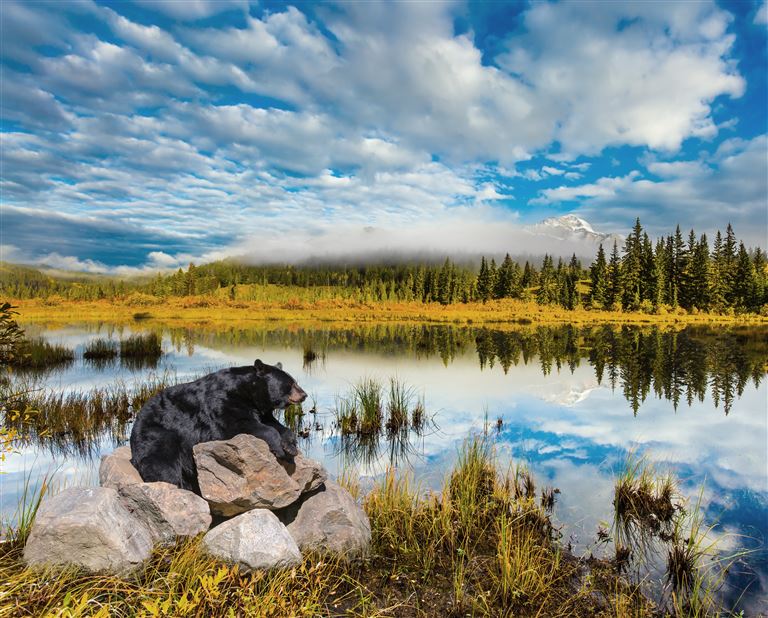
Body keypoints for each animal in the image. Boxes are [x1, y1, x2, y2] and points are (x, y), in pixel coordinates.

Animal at [129, 359, 307, 493]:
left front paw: (290, 447)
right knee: (163, 464)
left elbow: (277, 425)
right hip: (158, 435)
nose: (304, 394)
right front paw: (279, 448)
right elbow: (239, 425)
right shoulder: (222, 401)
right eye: (291, 383)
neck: (248, 391)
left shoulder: (261, 410)